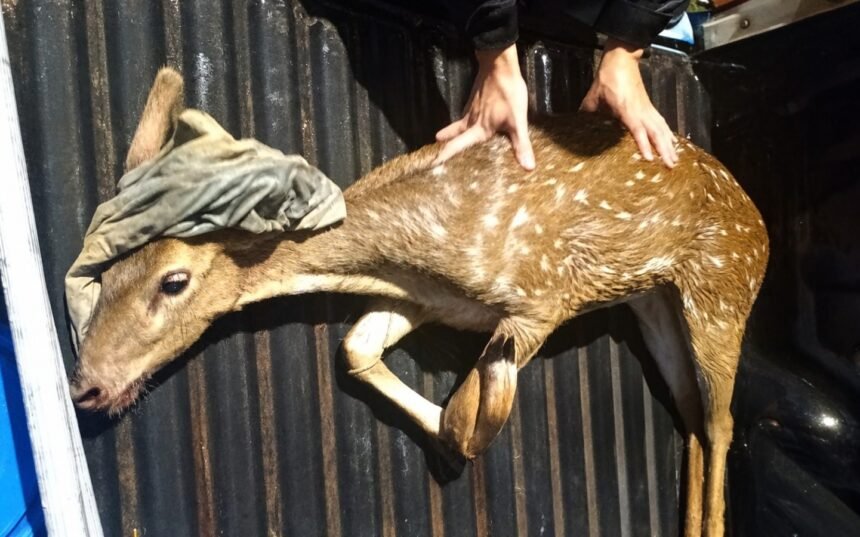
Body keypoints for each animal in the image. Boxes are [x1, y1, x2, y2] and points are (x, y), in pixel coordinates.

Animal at [68, 67, 767, 537]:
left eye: (173, 280)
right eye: (108, 272)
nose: (87, 386)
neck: (414, 255)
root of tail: (758, 221)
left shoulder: (541, 297)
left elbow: (479, 398)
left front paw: (456, 430)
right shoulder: (427, 302)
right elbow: (357, 348)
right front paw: (445, 428)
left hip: (721, 289)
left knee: (722, 418)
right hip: (653, 303)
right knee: (691, 413)